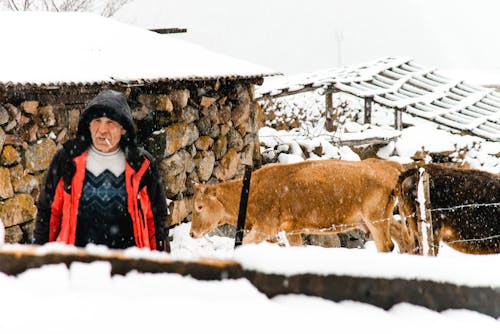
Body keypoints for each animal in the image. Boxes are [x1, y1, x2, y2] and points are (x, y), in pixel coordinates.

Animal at [189, 158, 404, 252]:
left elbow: (244, 244)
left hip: (376, 219)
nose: (191, 233)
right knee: (404, 236)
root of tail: (389, 165)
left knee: (386, 245)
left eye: (199, 206)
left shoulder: (265, 226)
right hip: (383, 218)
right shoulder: (292, 229)